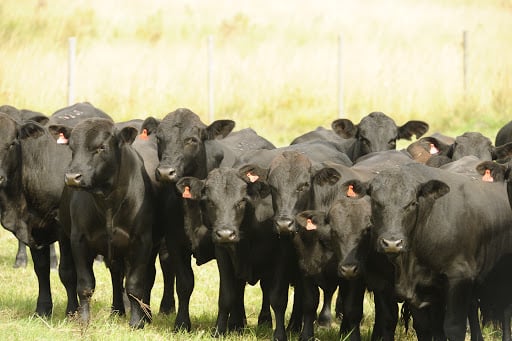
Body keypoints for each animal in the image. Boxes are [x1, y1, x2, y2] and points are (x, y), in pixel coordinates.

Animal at [58, 117, 158, 326]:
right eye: (71, 147)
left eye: (101, 147)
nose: (72, 177)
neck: (108, 203)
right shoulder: (78, 240)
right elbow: (85, 284)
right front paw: (84, 321)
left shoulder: (143, 241)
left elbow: (135, 285)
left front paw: (137, 323)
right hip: (65, 236)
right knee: (72, 274)